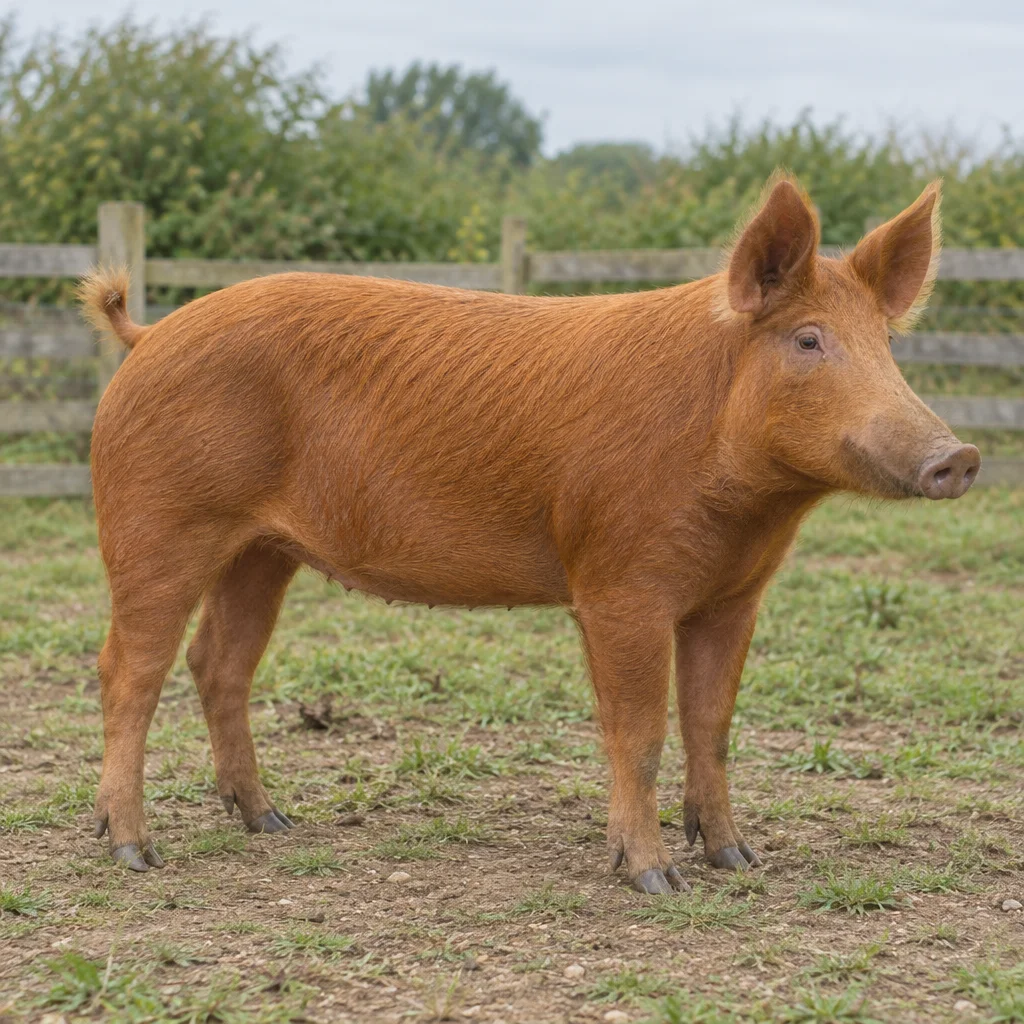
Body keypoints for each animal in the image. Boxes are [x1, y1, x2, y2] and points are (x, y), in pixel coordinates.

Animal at [79, 175, 978, 891]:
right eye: (808, 339)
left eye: (886, 345)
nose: (958, 456)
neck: (752, 507)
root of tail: (148, 335)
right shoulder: (617, 585)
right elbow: (640, 732)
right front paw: (656, 879)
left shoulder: (736, 596)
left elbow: (713, 726)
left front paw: (737, 859)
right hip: (156, 523)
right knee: (129, 669)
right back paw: (133, 853)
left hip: (264, 551)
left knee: (218, 664)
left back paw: (272, 822)